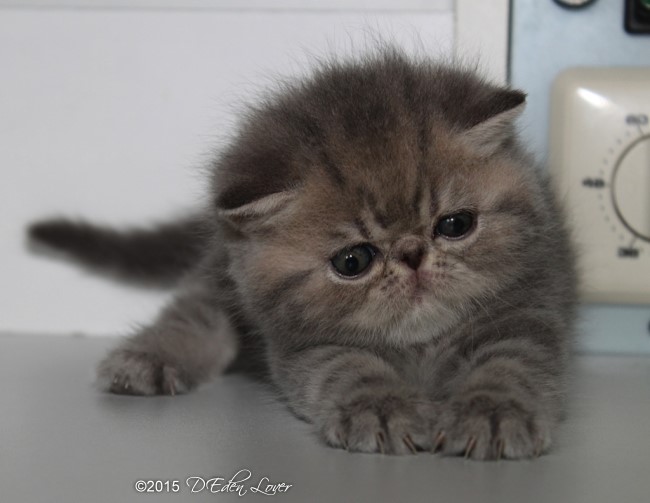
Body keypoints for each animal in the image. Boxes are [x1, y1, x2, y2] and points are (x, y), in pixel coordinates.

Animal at [29, 49, 577, 460]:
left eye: (456, 225)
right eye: (352, 262)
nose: (412, 256)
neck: (418, 348)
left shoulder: (530, 308)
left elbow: (511, 364)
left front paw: (493, 413)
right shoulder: (305, 344)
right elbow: (349, 366)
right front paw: (379, 406)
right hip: (223, 277)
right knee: (198, 312)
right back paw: (146, 360)